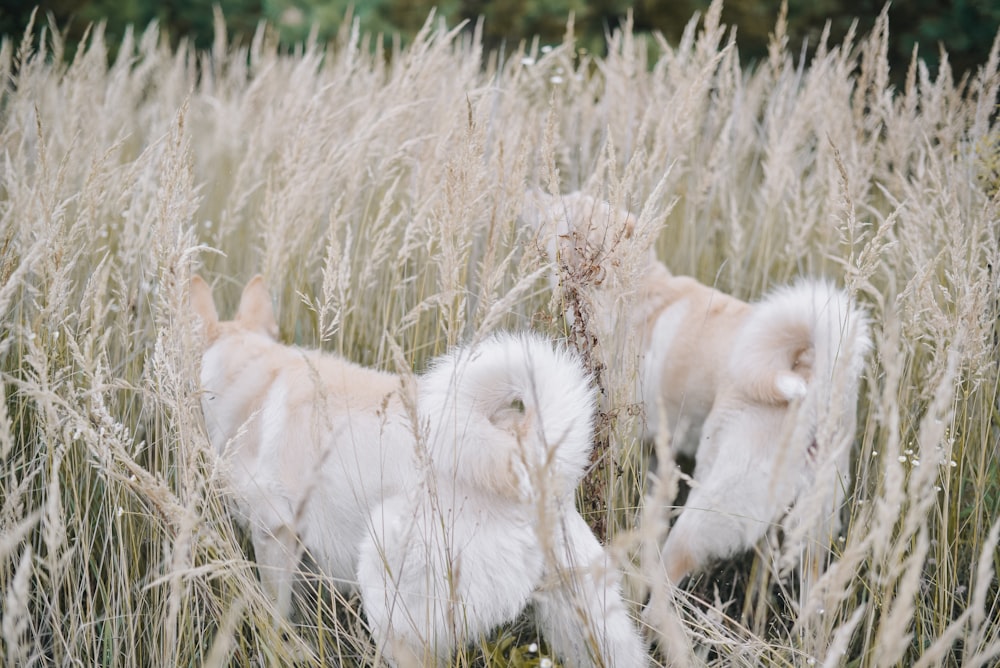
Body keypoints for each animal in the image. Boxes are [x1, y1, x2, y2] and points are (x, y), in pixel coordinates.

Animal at [193, 276, 648, 668]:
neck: (251, 374)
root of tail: (520, 456)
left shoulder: (274, 535)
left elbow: (273, 613)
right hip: (591, 628)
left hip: (390, 595)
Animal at [524, 192, 868, 584]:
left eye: (562, 207)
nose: (532, 193)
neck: (631, 290)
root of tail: (815, 383)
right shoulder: (659, 453)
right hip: (812, 532)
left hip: (709, 509)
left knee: (670, 575)